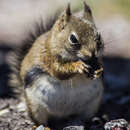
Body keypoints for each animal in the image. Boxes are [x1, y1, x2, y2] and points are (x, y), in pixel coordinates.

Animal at [9, 1, 104, 129]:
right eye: (73, 38)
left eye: (98, 36)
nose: (92, 54)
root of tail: (61, 117)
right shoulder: (49, 58)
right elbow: (59, 71)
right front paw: (78, 66)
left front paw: (99, 70)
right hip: (36, 107)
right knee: (40, 121)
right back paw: (45, 127)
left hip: (91, 106)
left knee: (82, 118)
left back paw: (88, 122)